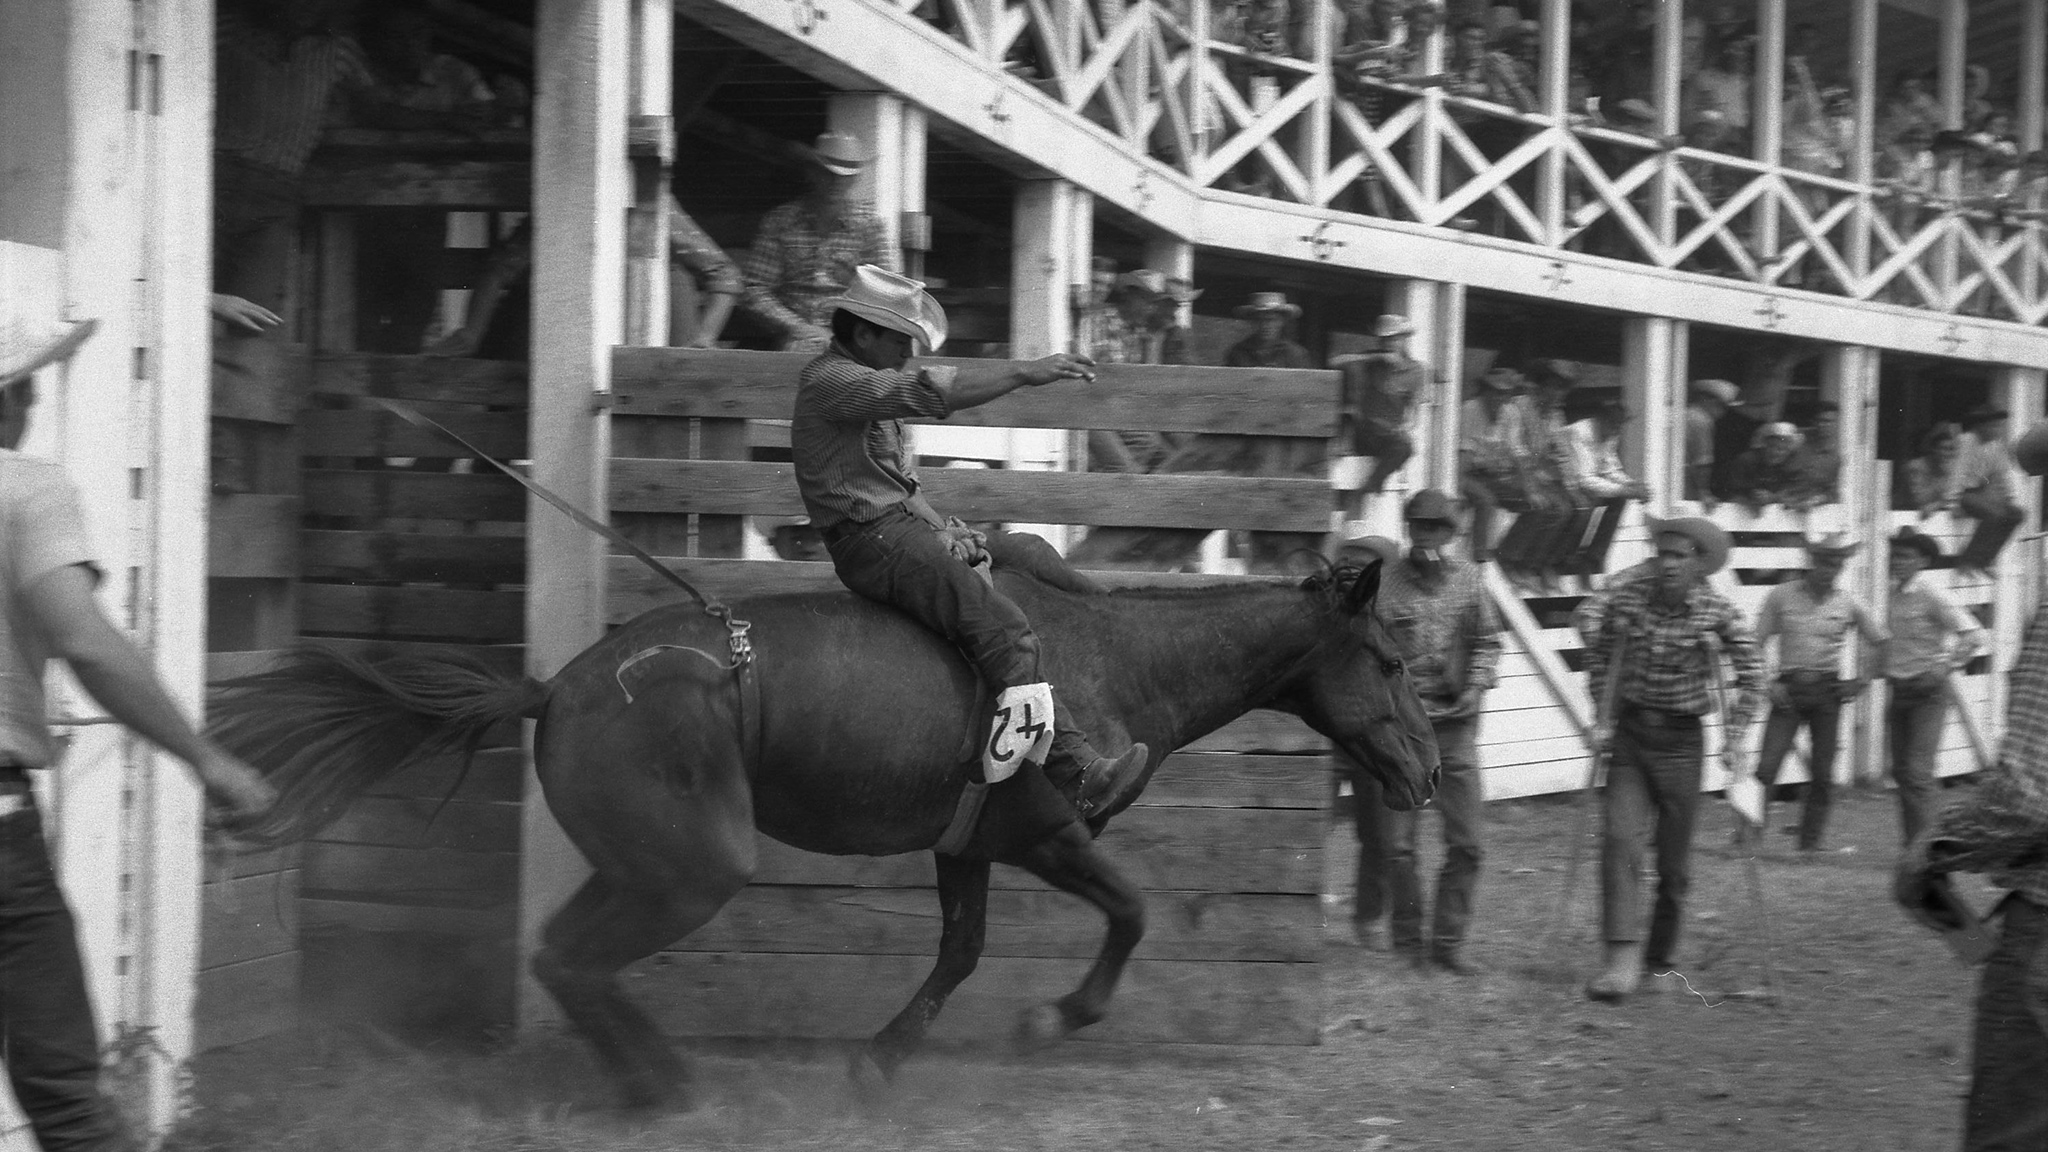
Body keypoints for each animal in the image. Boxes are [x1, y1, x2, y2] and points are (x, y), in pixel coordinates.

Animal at [203, 561, 1425, 1106]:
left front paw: (878, 1058)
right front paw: (1053, 1016)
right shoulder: (1043, 837)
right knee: (578, 959)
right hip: (692, 869)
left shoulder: (963, 847)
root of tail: (554, 689)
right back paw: (665, 1084)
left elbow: (961, 950)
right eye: (1390, 658)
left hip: (643, 864)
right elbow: (1128, 913)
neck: (1114, 664)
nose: (1422, 772)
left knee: (562, 955)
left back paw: (656, 1080)